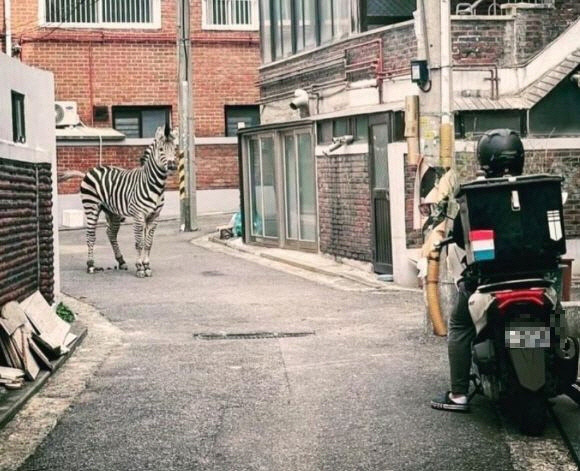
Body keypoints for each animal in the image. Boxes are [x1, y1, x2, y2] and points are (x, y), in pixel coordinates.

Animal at [80, 125, 177, 278]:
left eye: (175, 149)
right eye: (161, 149)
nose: (172, 166)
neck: (155, 186)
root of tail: (94, 168)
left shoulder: (154, 216)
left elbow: (148, 243)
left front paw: (147, 266)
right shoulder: (139, 215)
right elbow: (139, 243)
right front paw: (140, 268)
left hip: (113, 212)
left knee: (111, 233)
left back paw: (121, 261)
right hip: (91, 207)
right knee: (90, 235)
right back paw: (90, 265)